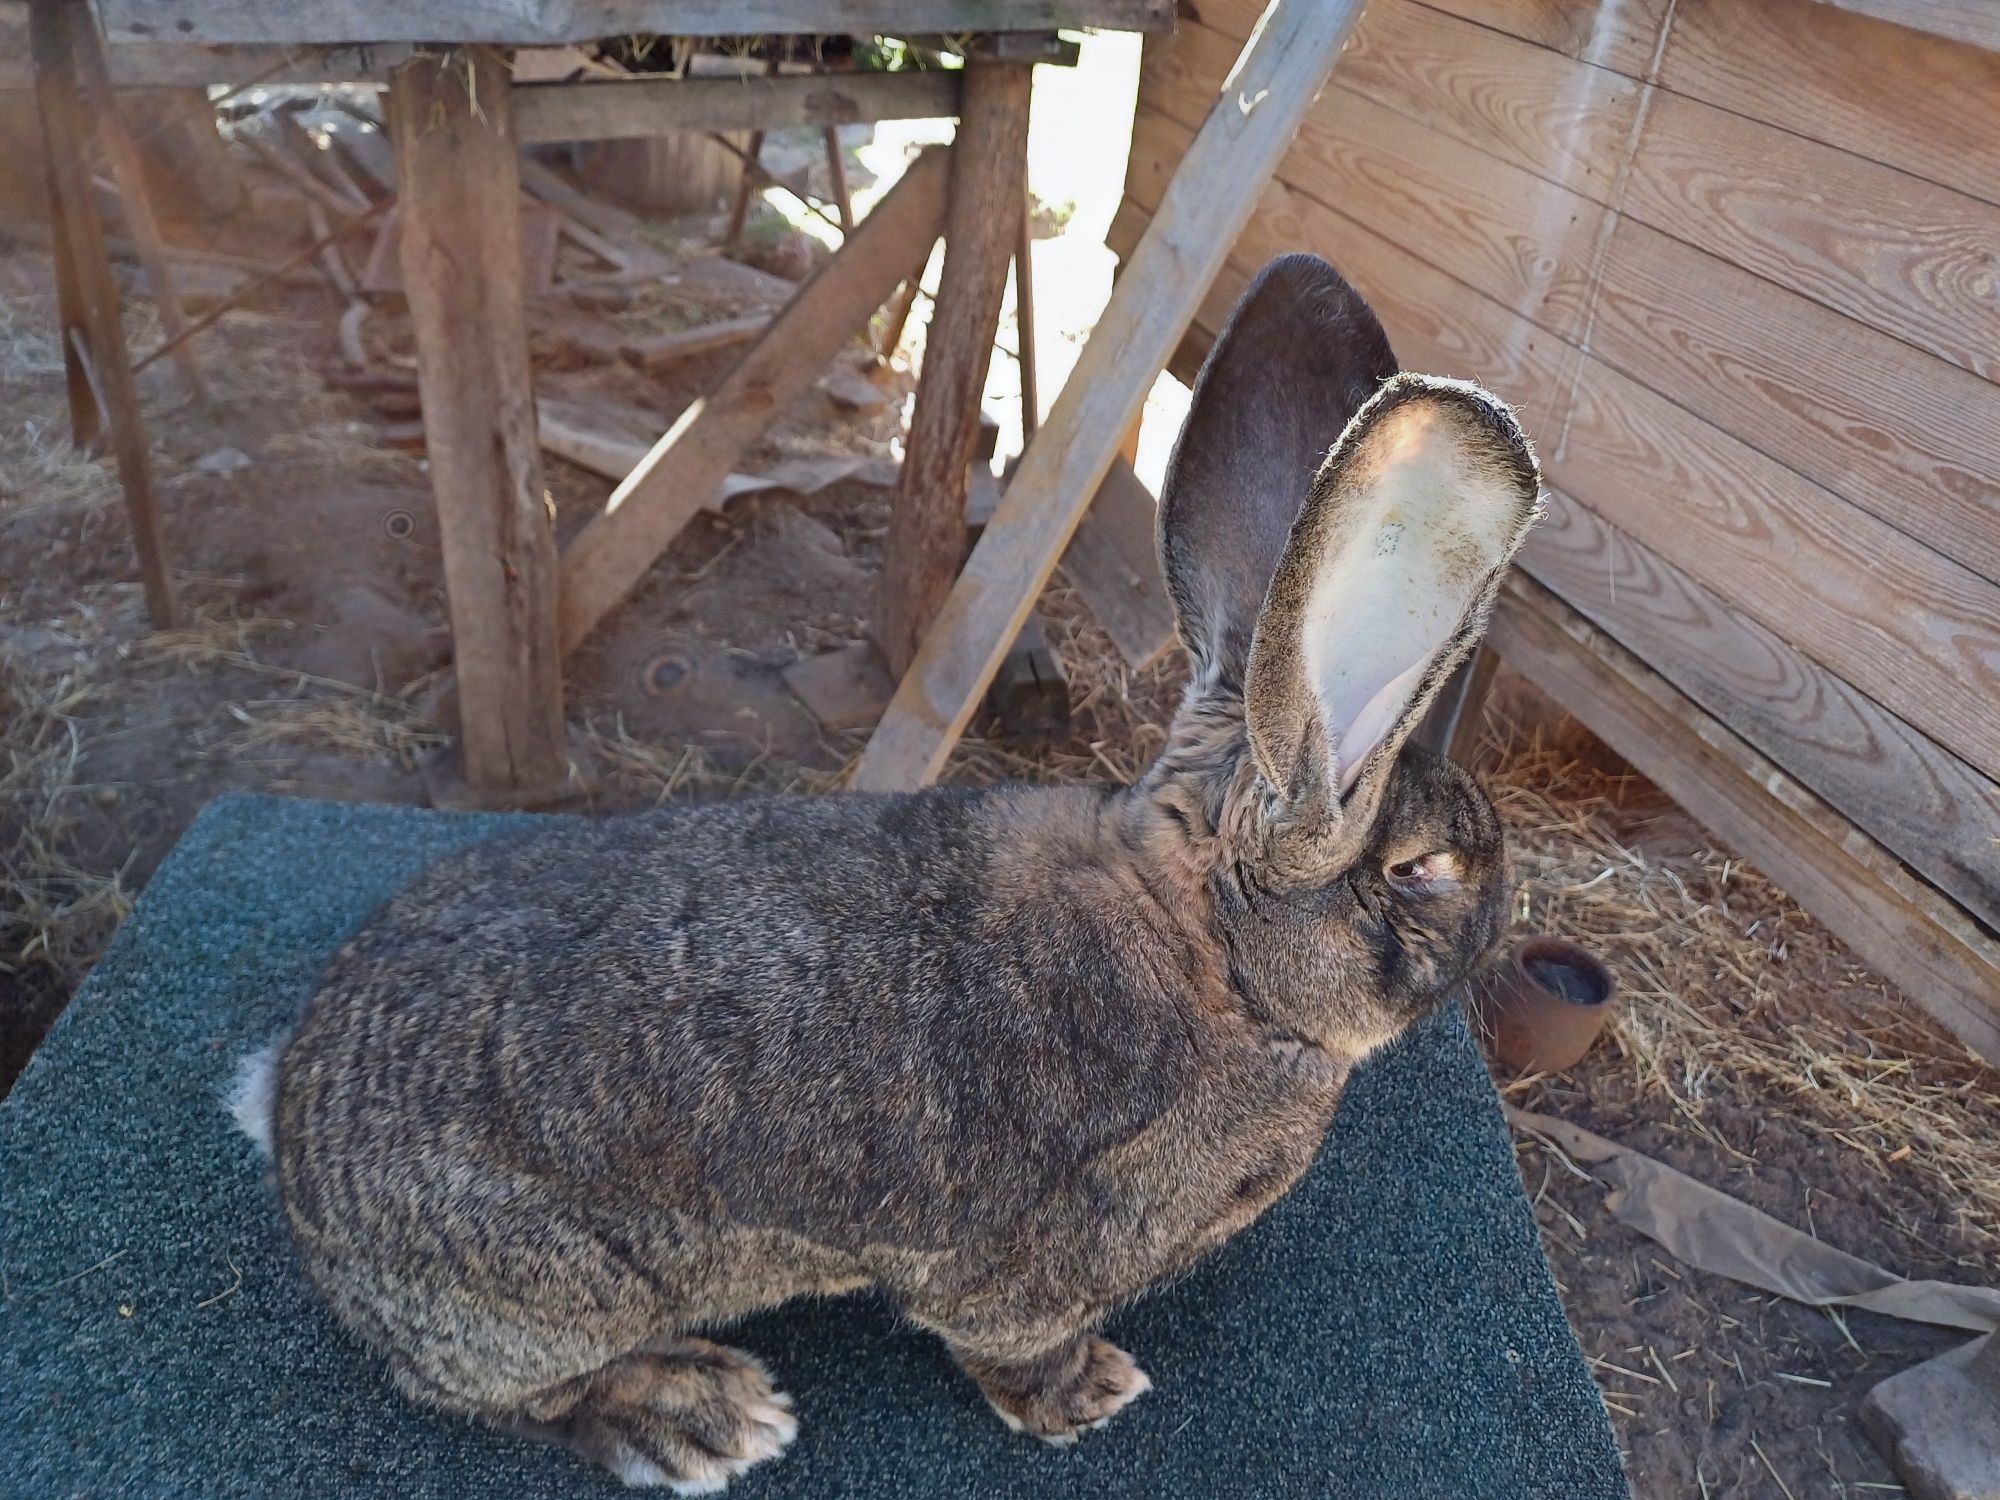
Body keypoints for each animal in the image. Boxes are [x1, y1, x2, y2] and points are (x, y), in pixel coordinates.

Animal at [238, 256, 1544, 1496]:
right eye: (1425, 868)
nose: (1503, 911)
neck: (1215, 956)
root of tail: (293, 1145)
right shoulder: (1025, 1270)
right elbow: (1007, 1342)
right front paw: (1088, 1394)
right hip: (552, 1294)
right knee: (512, 1393)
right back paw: (701, 1415)